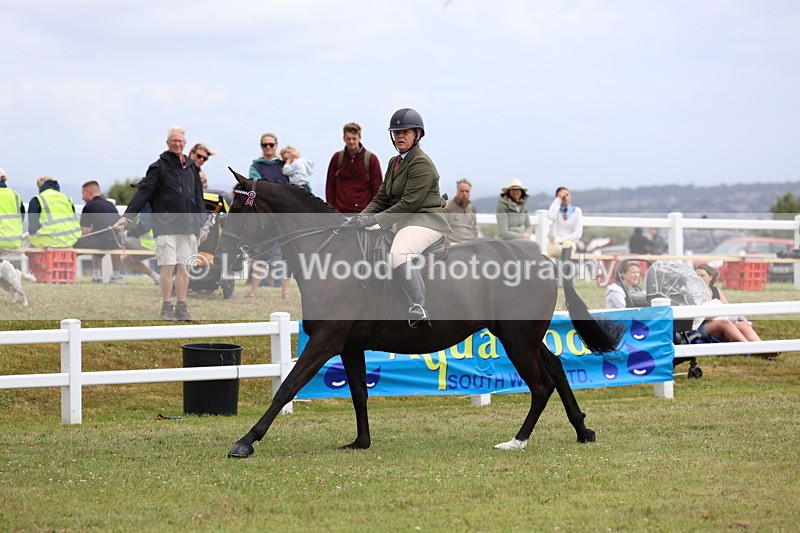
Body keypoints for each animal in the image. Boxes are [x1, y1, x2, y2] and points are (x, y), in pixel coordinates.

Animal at [216, 170, 622, 458]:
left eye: (240, 210)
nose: (224, 257)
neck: (330, 254)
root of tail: (544, 260)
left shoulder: (326, 340)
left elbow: (287, 386)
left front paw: (245, 441)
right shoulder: (349, 345)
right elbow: (359, 393)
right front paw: (360, 442)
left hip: (517, 339)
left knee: (541, 385)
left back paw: (516, 442)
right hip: (522, 335)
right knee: (556, 368)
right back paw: (582, 430)